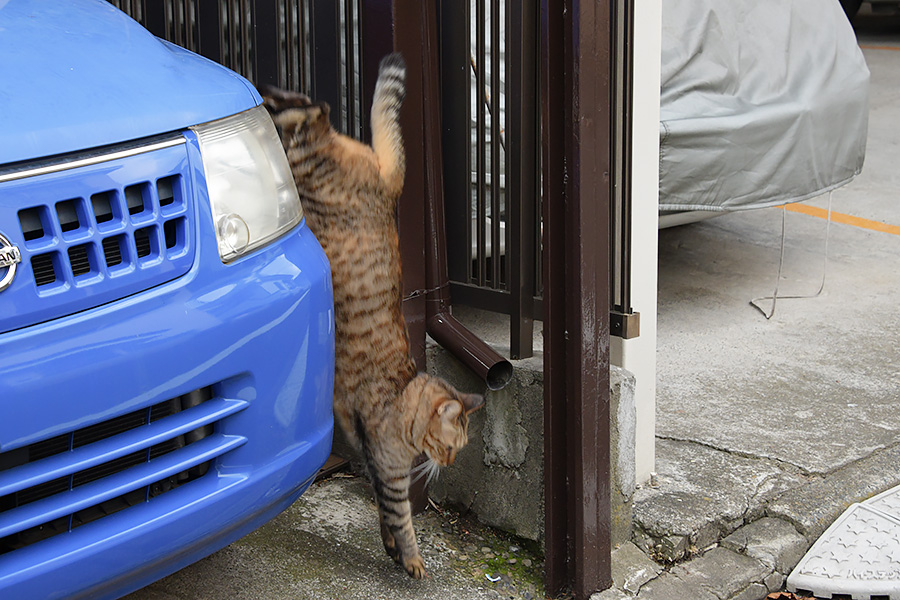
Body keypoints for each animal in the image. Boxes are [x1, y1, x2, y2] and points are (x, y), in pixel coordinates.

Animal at [264, 54, 482, 580]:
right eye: (451, 447)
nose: (448, 464)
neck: (405, 399)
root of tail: (389, 186)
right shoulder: (388, 467)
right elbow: (401, 516)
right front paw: (413, 560)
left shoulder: (370, 458)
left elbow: (384, 514)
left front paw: (389, 547)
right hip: (309, 165)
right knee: (312, 113)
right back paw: (270, 92)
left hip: (311, 164)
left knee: (313, 111)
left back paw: (273, 92)